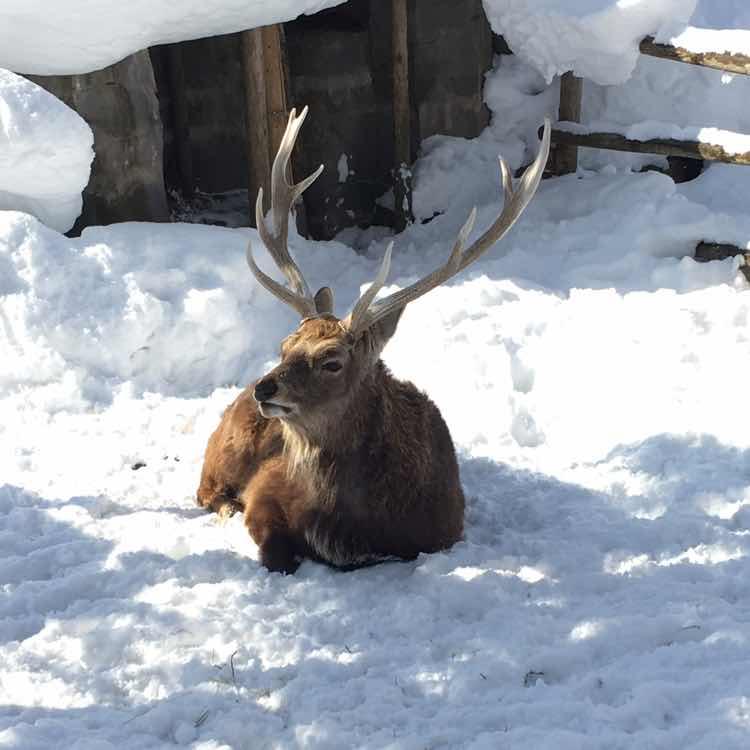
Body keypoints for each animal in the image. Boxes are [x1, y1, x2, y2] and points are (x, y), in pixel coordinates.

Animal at [197, 107, 556, 576]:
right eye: (285, 345)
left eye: (332, 360)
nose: (265, 387)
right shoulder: (266, 490)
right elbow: (276, 553)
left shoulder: (444, 529)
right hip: (225, 448)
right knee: (205, 491)